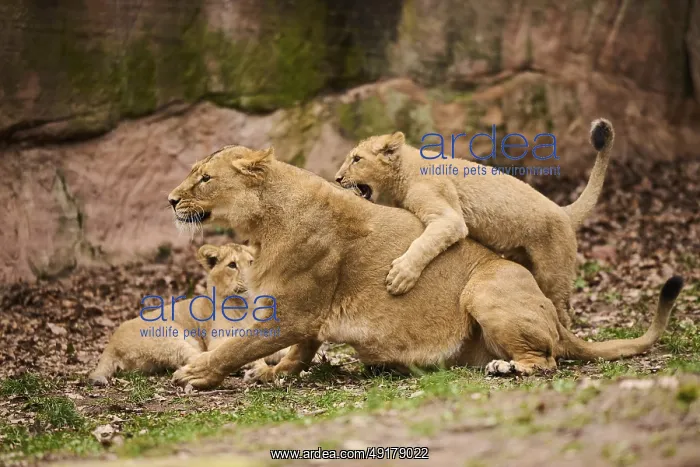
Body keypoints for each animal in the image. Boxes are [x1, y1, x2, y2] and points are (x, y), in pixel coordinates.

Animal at [89, 243, 285, 385]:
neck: (247, 305)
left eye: (251, 262)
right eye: (232, 265)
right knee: (200, 357)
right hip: (171, 335)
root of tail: (112, 343)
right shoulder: (218, 340)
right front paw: (259, 367)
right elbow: (238, 350)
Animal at [164, 144, 682, 390]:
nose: (170, 200)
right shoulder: (304, 315)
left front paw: (198, 373)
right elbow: (298, 351)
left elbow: (242, 344)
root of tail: (556, 318)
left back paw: (507, 368)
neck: (261, 222)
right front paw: (275, 373)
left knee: (548, 360)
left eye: (204, 179)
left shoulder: (292, 309)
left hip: (486, 289)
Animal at [334, 119, 615, 328]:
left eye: (357, 159)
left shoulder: (449, 218)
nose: (337, 178)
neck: (401, 174)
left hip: (554, 274)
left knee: (564, 312)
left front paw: (401, 276)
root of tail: (563, 211)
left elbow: (424, 244)